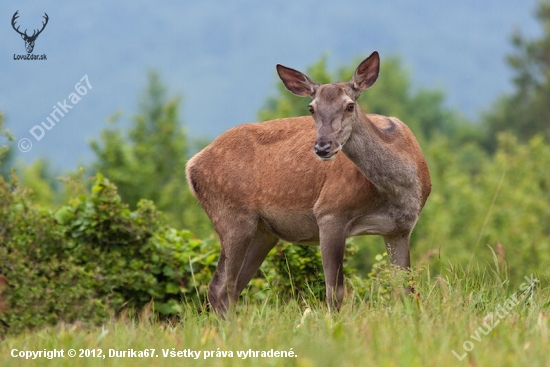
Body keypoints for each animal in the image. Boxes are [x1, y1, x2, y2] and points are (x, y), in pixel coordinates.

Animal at [188, 51, 434, 316]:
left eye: (350, 105)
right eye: (311, 108)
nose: (323, 147)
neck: (399, 191)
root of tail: (191, 165)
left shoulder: (400, 229)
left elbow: (407, 291)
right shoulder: (330, 211)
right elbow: (334, 292)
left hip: (262, 232)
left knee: (230, 288)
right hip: (231, 216)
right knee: (221, 287)